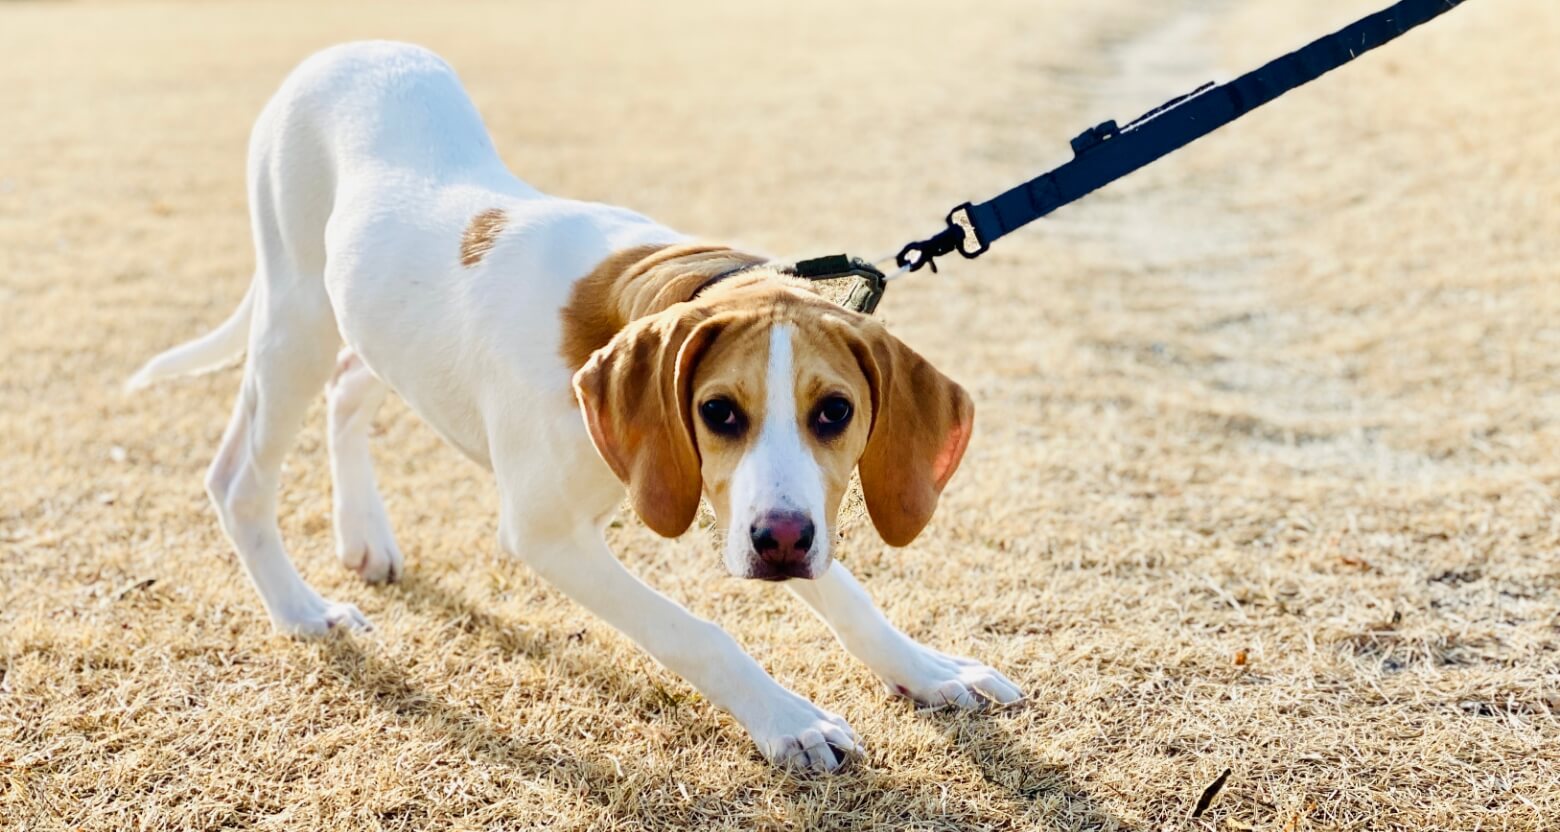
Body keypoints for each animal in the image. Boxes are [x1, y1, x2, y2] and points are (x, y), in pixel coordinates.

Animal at [124, 40, 1023, 771]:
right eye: (720, 412)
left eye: (834, 413)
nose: (781, 545)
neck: (640, 295)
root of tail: (340, 51)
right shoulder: (550, 533)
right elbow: (697, 632)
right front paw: (789, 721)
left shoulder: (734, 495)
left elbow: (849, 595)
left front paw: (927, 670)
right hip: (297, 316)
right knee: (239, 476)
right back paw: (304, 611)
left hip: (374, 323)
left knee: (350, 387)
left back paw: (364, 538)